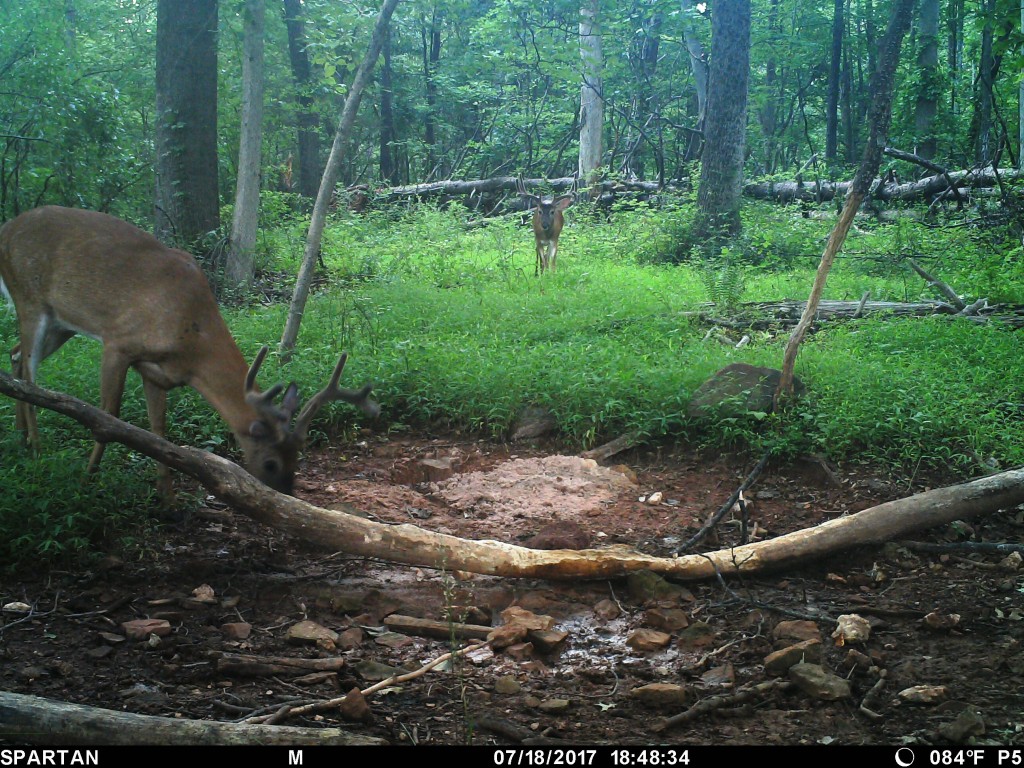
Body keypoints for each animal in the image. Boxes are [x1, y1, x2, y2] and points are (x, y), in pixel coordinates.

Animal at [0, 205, 379, 503]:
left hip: (62, 323)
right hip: (30, 298)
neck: (192, 335)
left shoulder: (156, 372)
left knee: (17, 356)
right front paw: (87, 479)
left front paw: (167, 499)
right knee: (30, 373)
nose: (286, 495)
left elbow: (157, 429)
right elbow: (108, 416)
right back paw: (37, 448)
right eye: (271, 462)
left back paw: (20, 438)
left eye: (298, 457)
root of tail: (7, 228)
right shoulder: (118, 342)